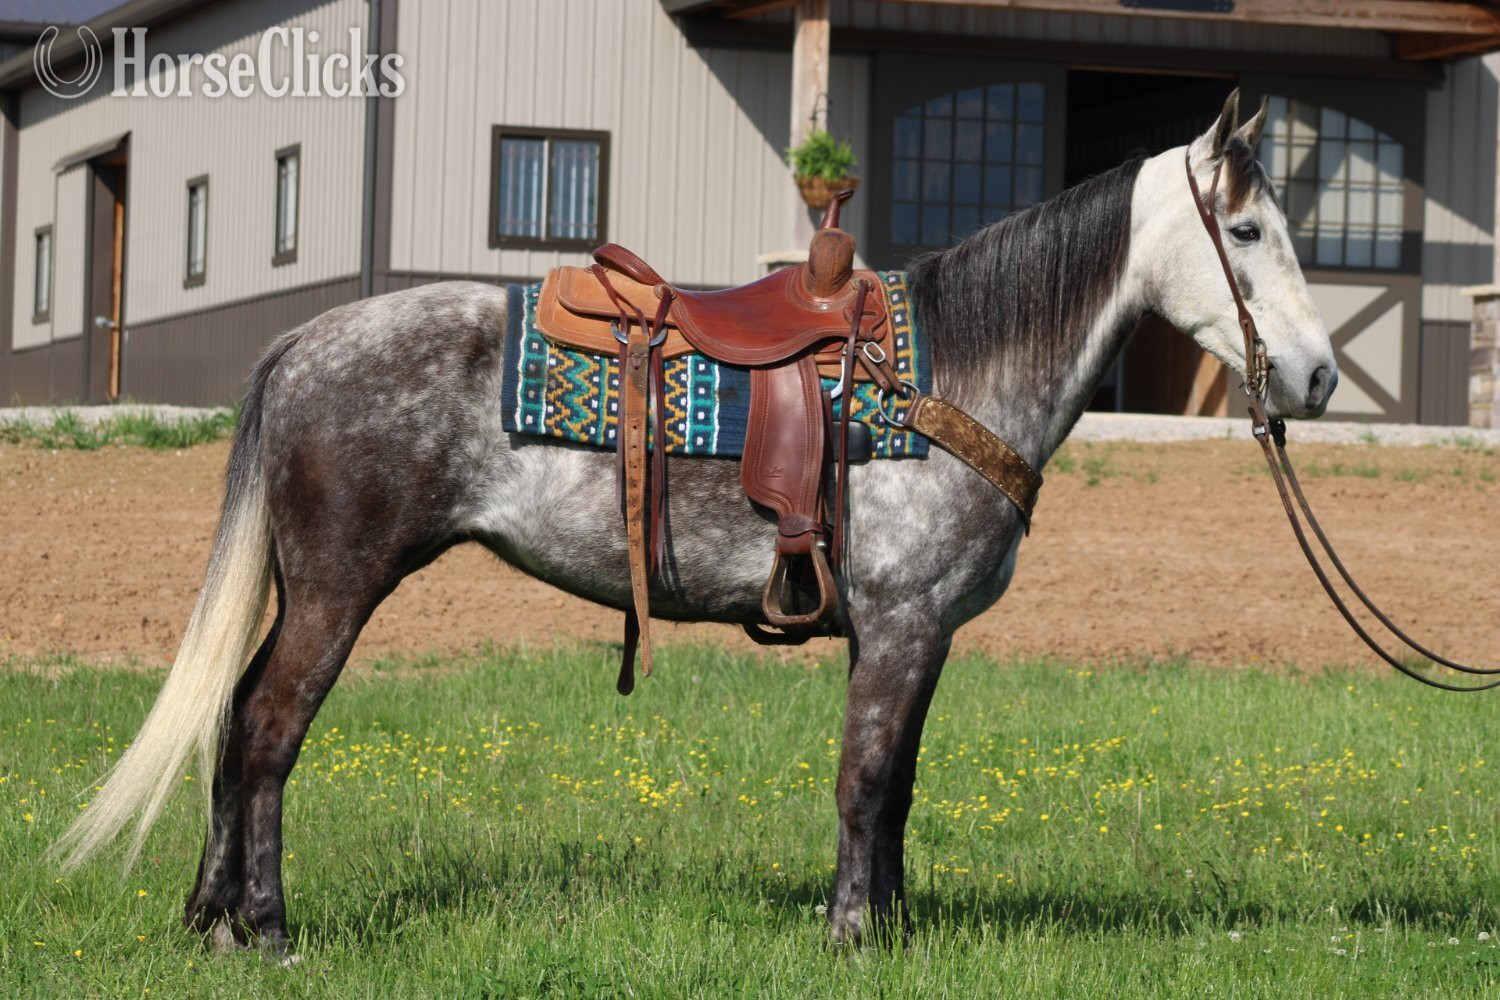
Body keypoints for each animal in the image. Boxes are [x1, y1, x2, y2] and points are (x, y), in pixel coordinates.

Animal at [55, 92, 1336, 953]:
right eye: (1249, 233)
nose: (1317, 376)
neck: (947, 378)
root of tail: (303, 341)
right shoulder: (903, 624)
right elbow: (866, 777)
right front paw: (851, 934)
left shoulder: (920, 637)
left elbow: (900, 787)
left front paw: (890, 926)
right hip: (337, 587)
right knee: (269, 730)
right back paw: (268, 928)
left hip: (305, 588)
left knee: (232, 722)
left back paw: (212, 917)